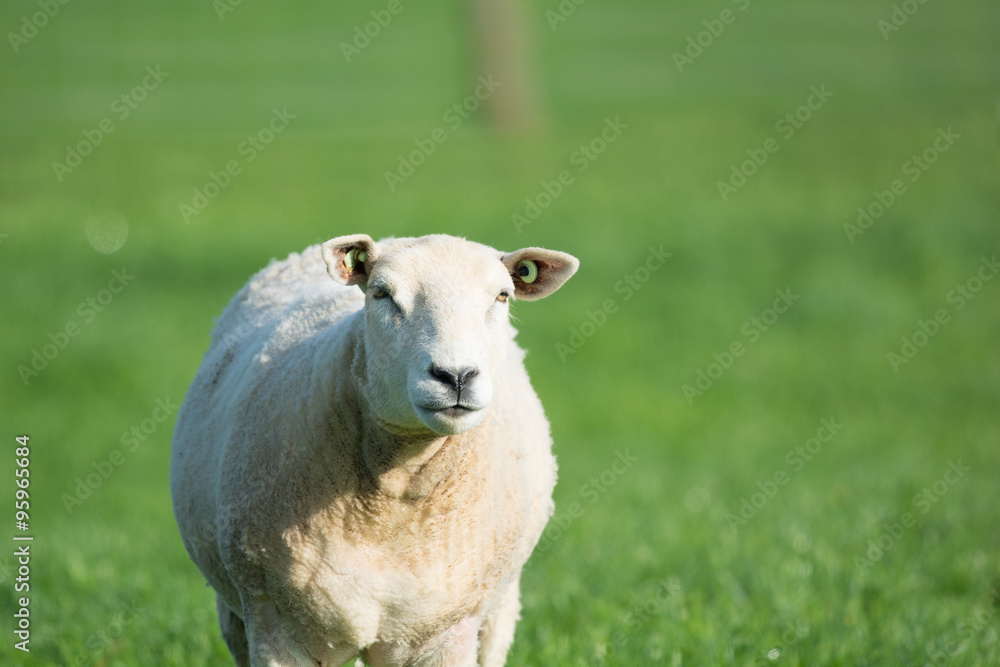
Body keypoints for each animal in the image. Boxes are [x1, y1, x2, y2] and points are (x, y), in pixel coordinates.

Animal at [170, 233, 579, 667]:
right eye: (382, 293)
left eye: (502, 296)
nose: (456, 376)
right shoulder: (276, 622)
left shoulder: (446, 632)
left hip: (496, 610)